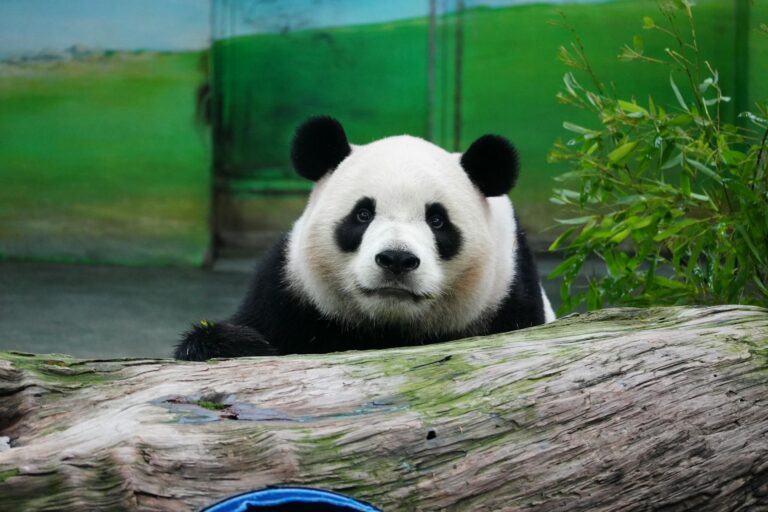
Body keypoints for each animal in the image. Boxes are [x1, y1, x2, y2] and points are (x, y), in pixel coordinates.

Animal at [175, 116, 555, 361]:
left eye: (437, 220)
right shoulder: (287, 293)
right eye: (362, 214)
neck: (388, 329)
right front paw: (237, 345)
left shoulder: (510, 296)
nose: (397, 259)